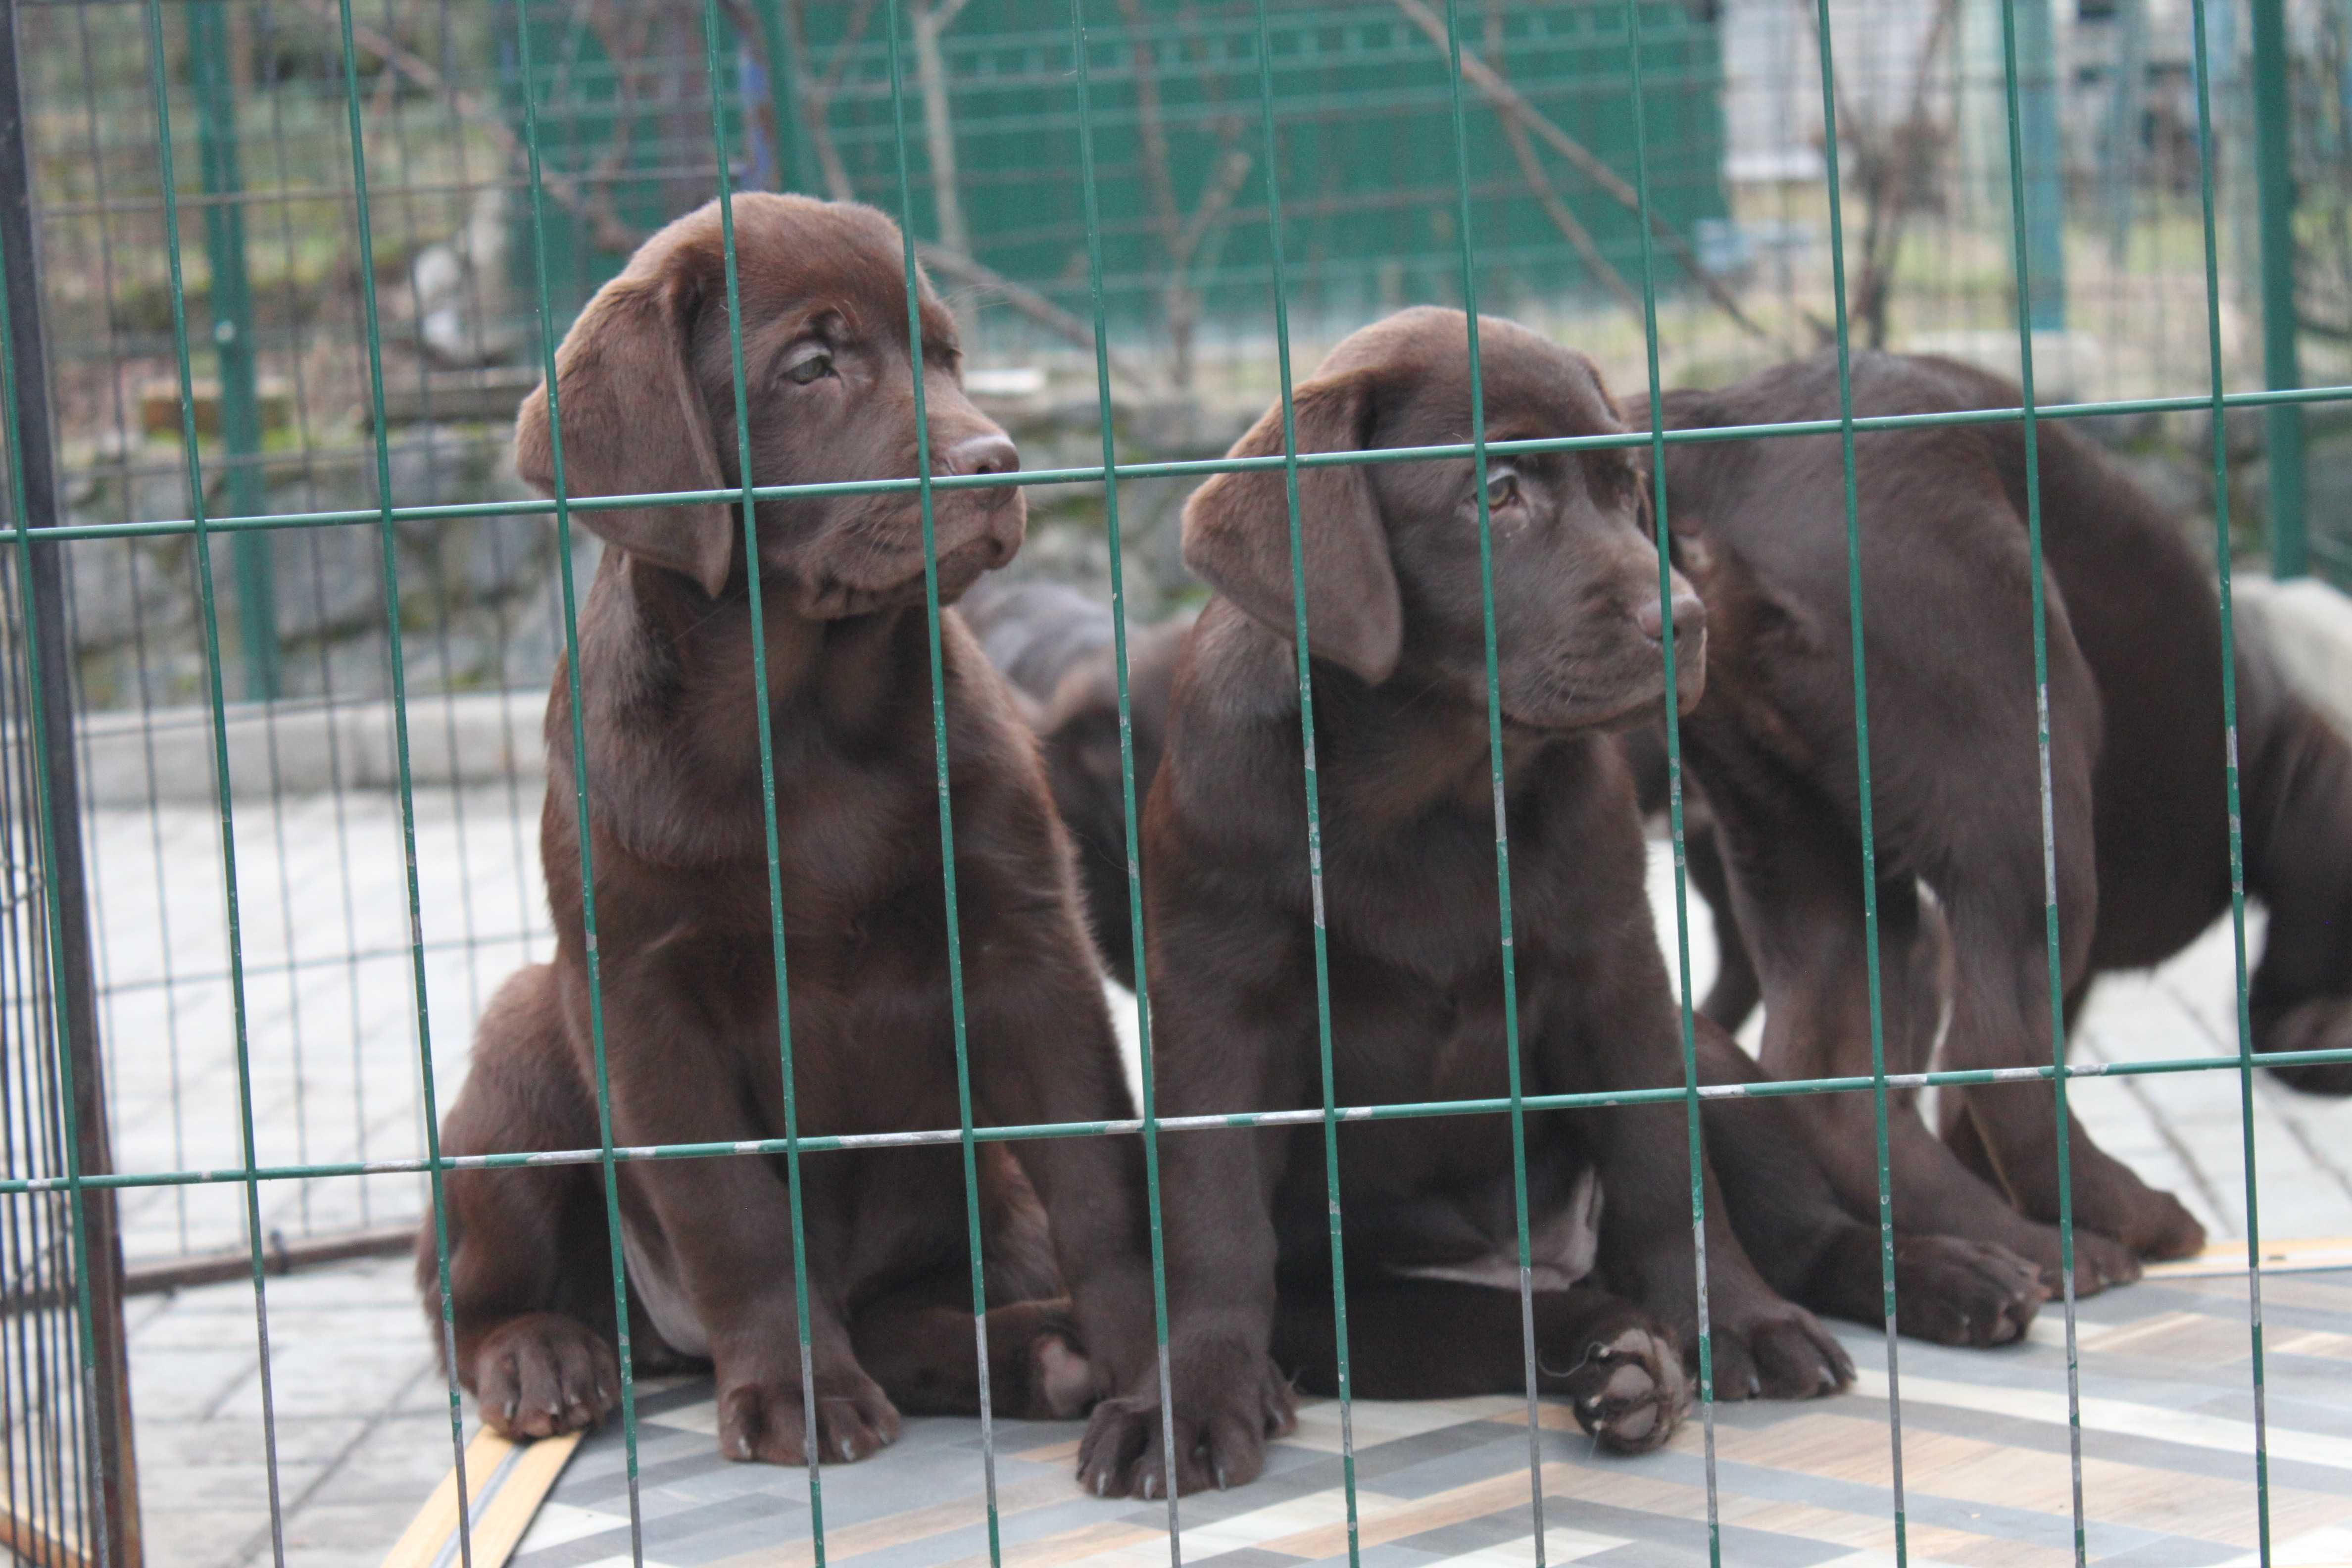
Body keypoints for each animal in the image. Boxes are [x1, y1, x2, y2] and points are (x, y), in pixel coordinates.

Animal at [430, 199, 1157, 1476]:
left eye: (946, 356)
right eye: (813, 364)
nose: (999, 464)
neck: (800, 715)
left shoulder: (1026, 942)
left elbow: (1098, 1174)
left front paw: (1162, 1373)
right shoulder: (642, 993)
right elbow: (736, 1220)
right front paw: (796, 1394)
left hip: (977, 1192)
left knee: (908, 1306)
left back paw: (1042, 1350)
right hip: (522, 1049)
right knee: (472, 1306)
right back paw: (542, 1357)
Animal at [1077, 305, 1862, 1495]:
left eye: (1627, 487)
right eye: (1495, 494)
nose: (1683, 620)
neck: (1430, 787)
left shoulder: (1616, 971)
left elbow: (1664, 1169)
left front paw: (1737, 1320)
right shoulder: (1218, 1004)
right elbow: (1215, 1220)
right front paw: (1190, 1397)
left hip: (1710, 1062)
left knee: (1797, 1223)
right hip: (1371, 1312)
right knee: (1519, 1321)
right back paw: (1624, 1362)